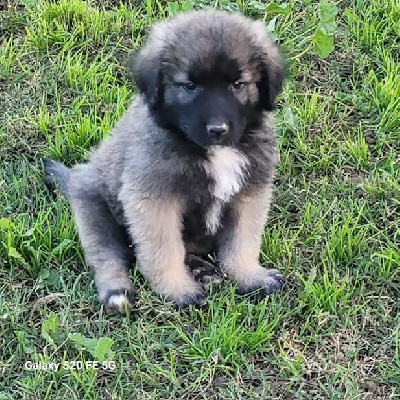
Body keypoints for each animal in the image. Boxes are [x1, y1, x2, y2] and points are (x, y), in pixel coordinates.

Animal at [43, 7, 284, 310]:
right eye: (189, 86)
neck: (209, 151)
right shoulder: (153, 199)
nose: (217, 129)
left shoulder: (250, 192)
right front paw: (176, 289)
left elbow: (242, 240)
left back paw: (202, 269)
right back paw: (117, 291)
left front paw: (250, 276)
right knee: (107, 255)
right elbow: (163, 250)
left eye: (238, 84)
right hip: (92, 204)